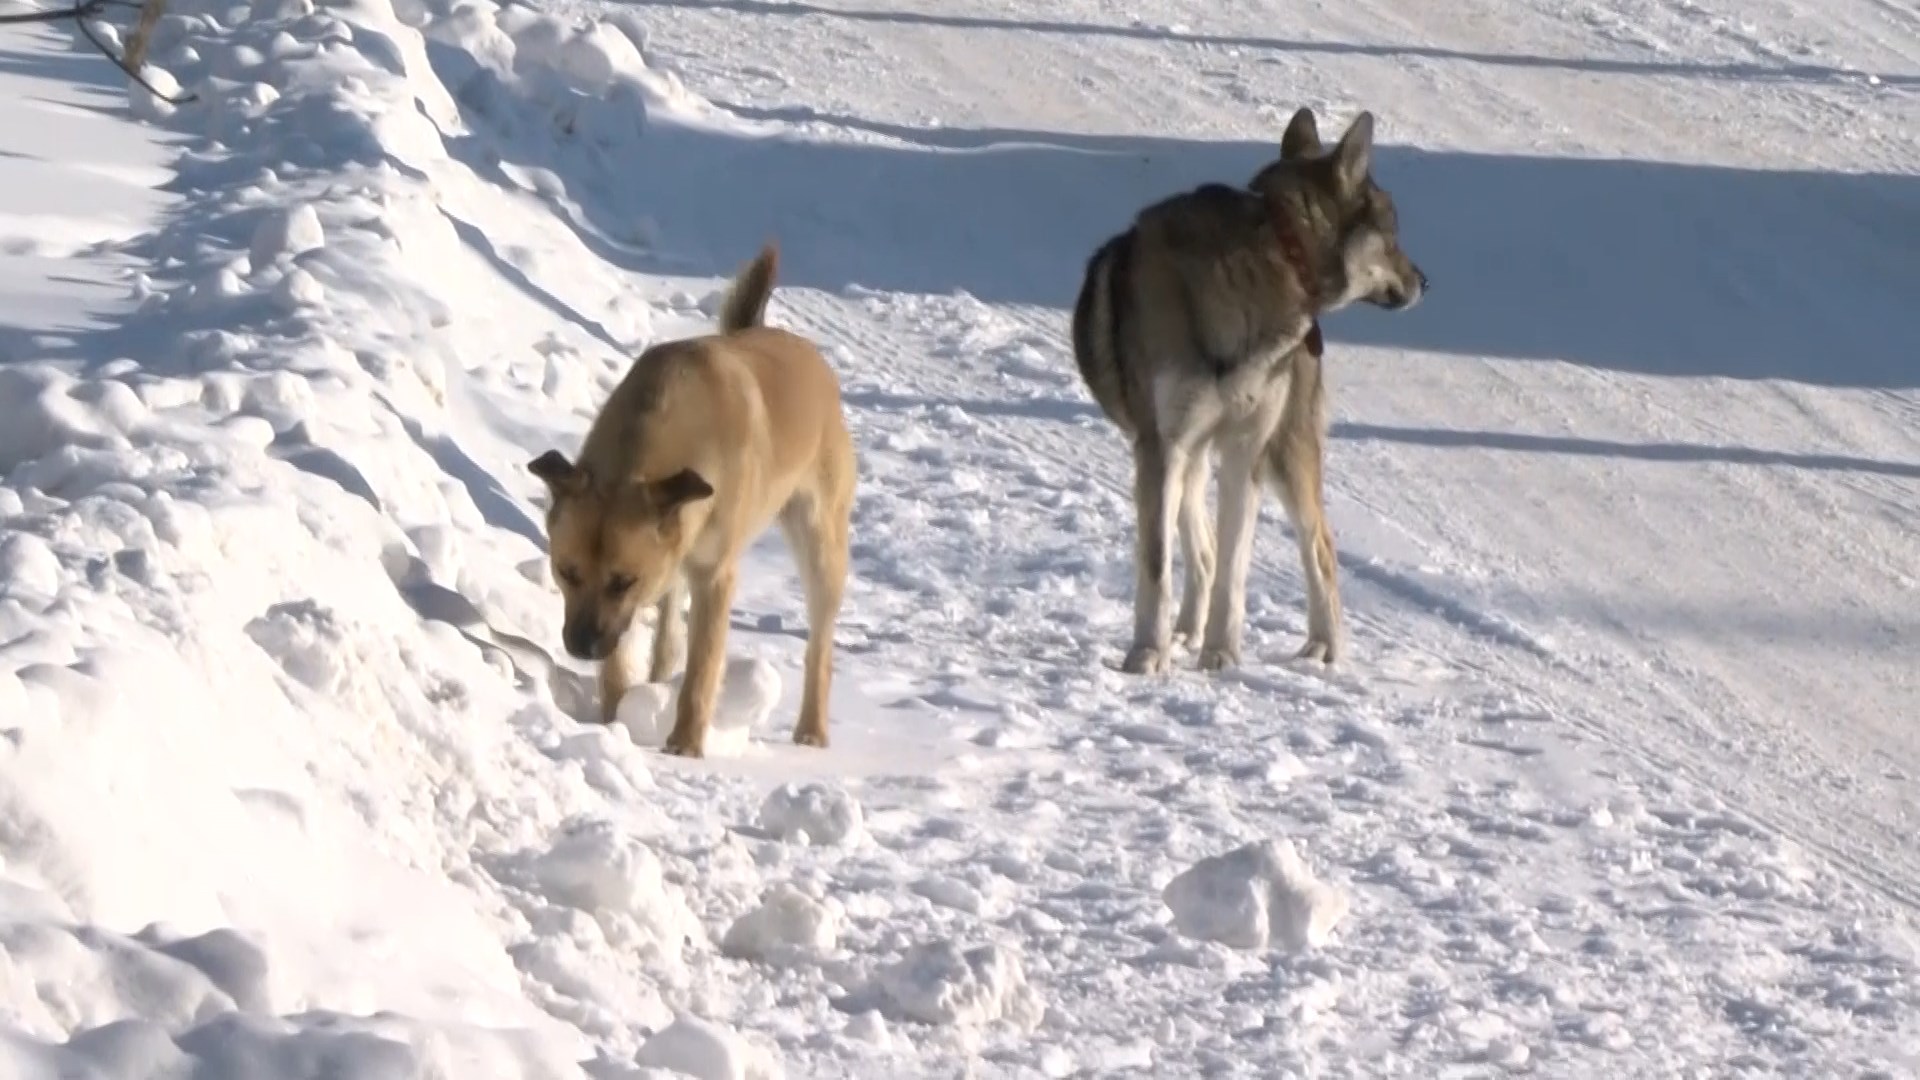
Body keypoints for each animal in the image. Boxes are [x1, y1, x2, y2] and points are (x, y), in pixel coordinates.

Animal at [526, 247, 856, 757]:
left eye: (623, 581)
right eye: (567, 572)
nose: (582, 647)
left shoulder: (711, 575)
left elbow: (702, 667)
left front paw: (685, 743)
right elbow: (625, 659)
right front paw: (614, 720)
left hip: (820, 540)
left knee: (819, 640)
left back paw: (812, 728)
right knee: (666, 635)